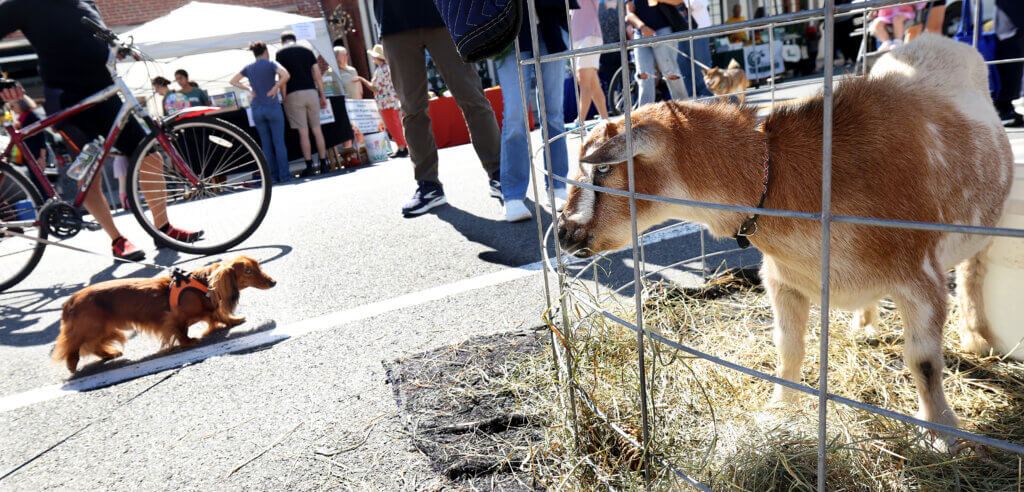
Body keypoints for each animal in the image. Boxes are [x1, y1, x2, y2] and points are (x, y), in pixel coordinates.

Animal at [557, 34, 1014, 431]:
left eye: (602, 168)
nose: (562, 233)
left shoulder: (921, 279)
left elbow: (923, 361)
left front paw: (943, 433)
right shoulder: (782, 279)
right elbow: (788, 348)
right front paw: (781, 408)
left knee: (974, 271)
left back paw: (978, 338)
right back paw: (865, 324)